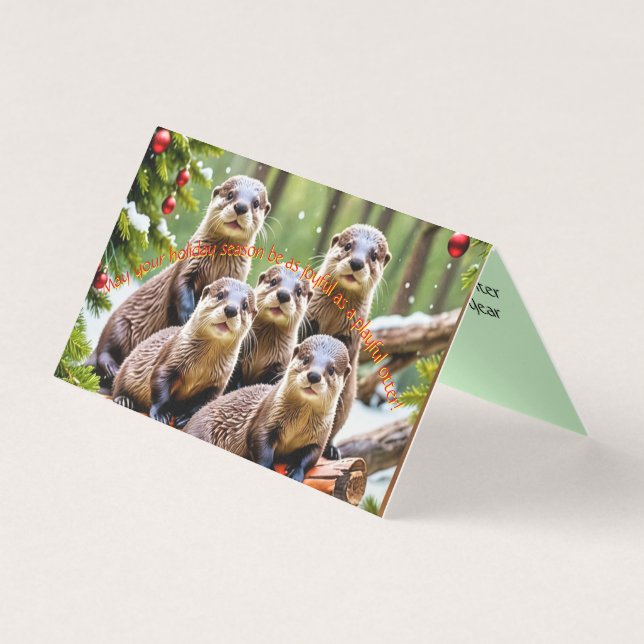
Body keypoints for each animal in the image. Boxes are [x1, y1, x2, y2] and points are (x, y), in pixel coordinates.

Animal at [92, 175, 270, 385]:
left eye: (255, 203)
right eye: (230, 194)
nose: (241, 206)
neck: (217, 264)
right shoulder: (188, 265)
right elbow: (179, 288)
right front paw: (187, 316)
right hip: (120, 324)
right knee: (104, 348)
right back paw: (111, 367)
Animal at [112, 278, 256, 428]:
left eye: (245, 305)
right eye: (220, 295)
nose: (231, 309)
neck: (201, 368)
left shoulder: (217, 385)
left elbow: (202, 404)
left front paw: (184, 419)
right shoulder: (170, 359)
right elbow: (159, 386)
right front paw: (160, 414)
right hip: (126, 369)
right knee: (118, 386)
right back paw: (124, 400)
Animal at [184, 335, 350, 482]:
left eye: (332, 370)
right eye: (306, 359)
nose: (314, 376)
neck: (297, 426)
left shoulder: (320, 437)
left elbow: (311, 457)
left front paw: (296, 472)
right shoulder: (266, 417)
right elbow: (260, 444)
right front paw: (269, 468)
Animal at [302, 224, 391, 459]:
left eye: (374, 256)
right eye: (348, 245)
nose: (357, 262)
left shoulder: (351, 335)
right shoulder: (309, 316)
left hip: (347, 403)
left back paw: (332, 450)